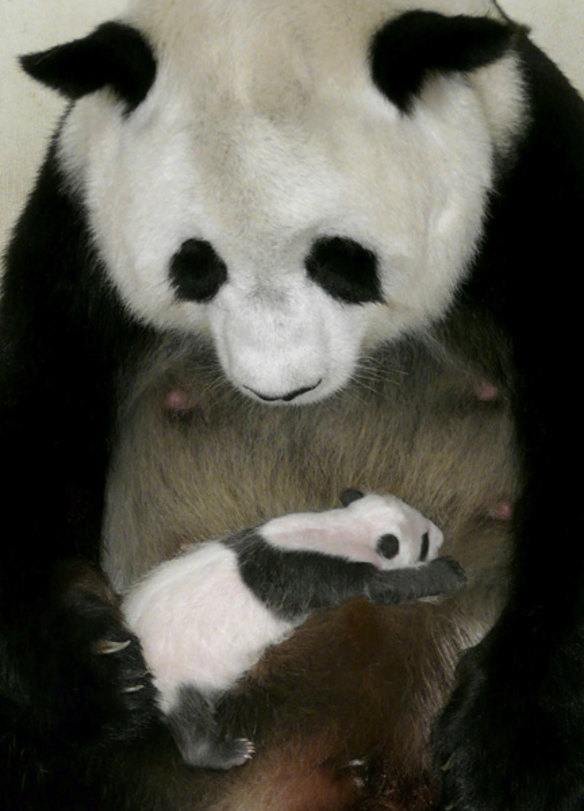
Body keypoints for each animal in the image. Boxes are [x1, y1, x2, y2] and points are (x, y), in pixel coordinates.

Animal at [122, 489, 463, 770]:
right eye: (424, 541)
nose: (441, 533)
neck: (339, 530)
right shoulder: (329, 574)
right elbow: (381, 588)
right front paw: (450, 571)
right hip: (174, 667)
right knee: (188, 714)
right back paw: (226, 752)